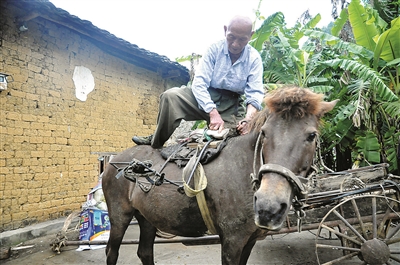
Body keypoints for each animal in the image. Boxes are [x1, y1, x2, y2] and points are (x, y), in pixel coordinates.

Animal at [101, 85, 336, 262]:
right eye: (264, 133)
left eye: (311, 136)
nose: (268, 207)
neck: (243, 171)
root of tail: (113, 161)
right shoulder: (232, 240)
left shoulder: (250, 240)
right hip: (119, 216)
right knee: (112, 251)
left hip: (147, 217)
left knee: (145, 252)